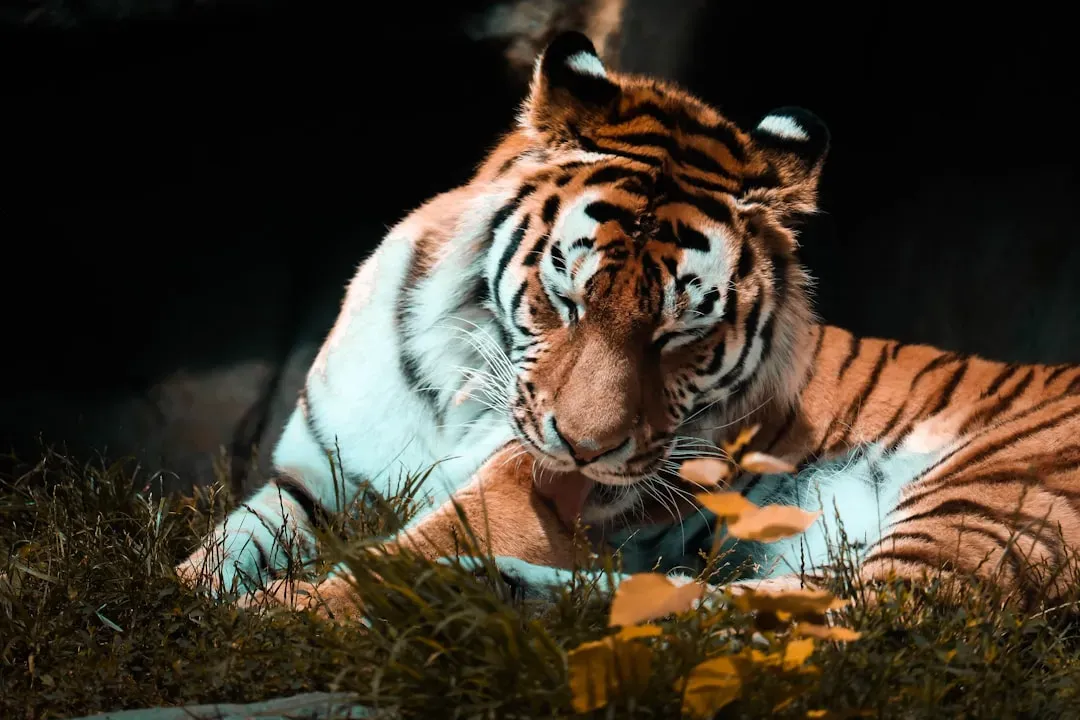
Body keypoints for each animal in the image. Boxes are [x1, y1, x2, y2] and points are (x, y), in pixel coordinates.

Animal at [175, 31, 1080, 620]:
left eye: (681, 334)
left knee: (858, 623)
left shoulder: (524, 491)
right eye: (565, 298)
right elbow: (222, 547)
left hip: (991, 490)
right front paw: (179, 602)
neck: (460, 381)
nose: (584, 452)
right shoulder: (315, 479)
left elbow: (398, 553)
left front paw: (281, 615)